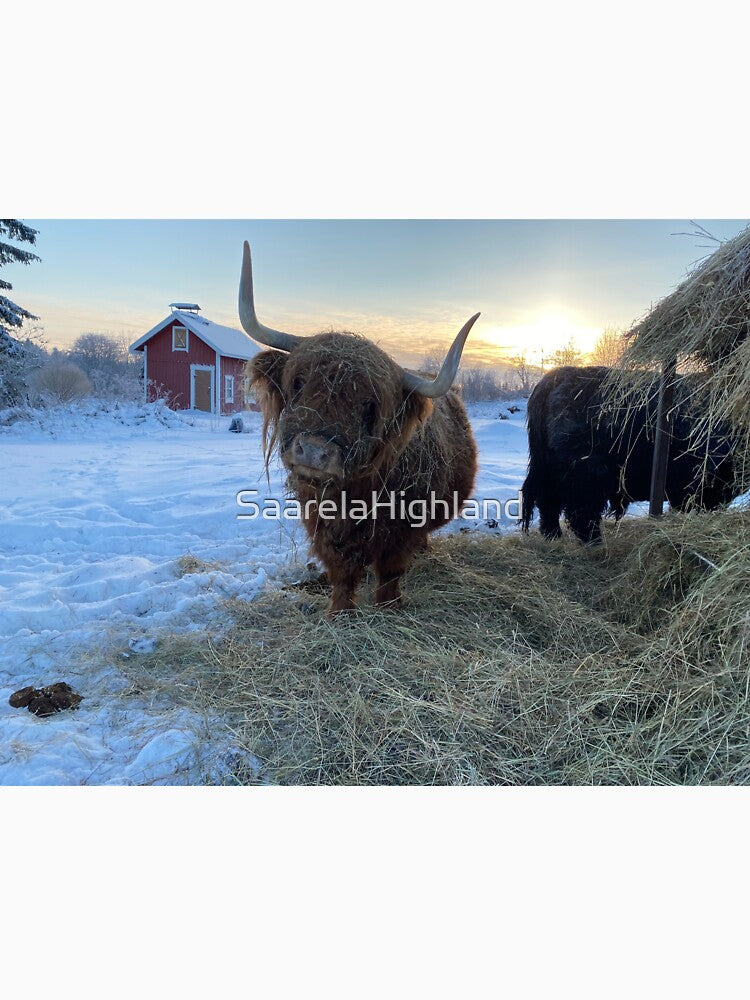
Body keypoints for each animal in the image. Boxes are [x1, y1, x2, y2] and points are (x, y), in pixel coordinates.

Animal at [237, 242, 480, 615]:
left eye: (369, 407)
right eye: (298, 382)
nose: (314, 451)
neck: (350, 499)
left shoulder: (402, 528)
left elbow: (391, 571)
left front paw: (389, 606)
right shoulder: (320, 522)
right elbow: (341, 572)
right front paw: (339, 612)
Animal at [521, 365, 735, 543]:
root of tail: (553, 379)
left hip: (548, 470)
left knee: (548, 502)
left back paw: (554, 536)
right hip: (584, 476)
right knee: (580, 512)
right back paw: (594, 543)